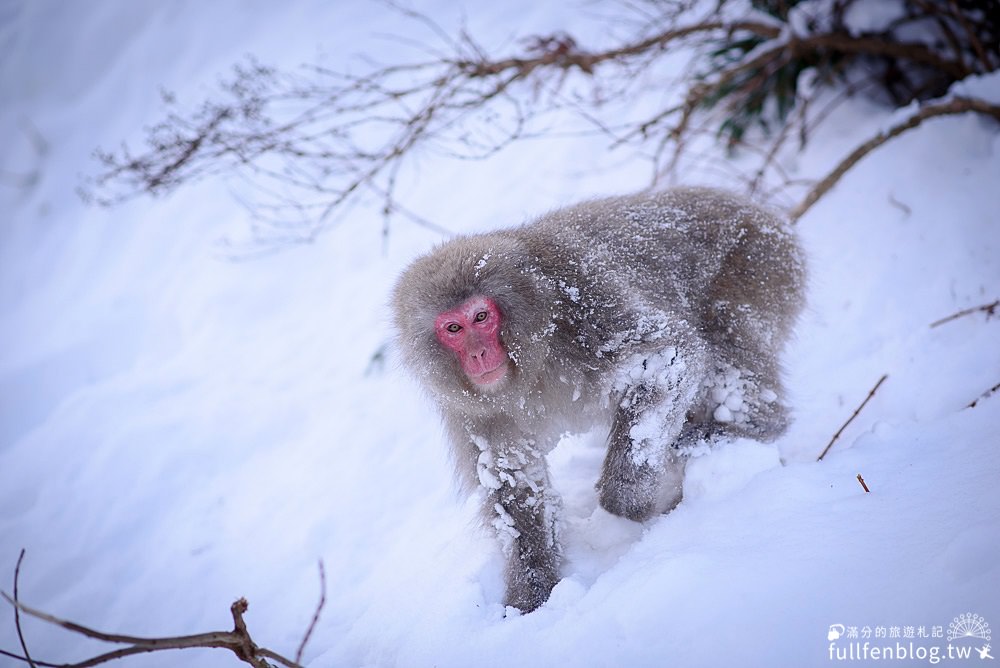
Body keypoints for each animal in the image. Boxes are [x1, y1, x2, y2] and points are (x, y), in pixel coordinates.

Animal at [390, 187, 804, 612]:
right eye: (453, 328)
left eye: (481, 317)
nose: (478, 355)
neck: (531, 363)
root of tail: (758, 210)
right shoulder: (472, 409)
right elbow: (515, 481)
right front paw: (531, 593)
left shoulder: (584, 306)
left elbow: (668, 356)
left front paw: (633, 500)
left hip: (756, 266)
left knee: (728, 342)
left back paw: (743, 428)